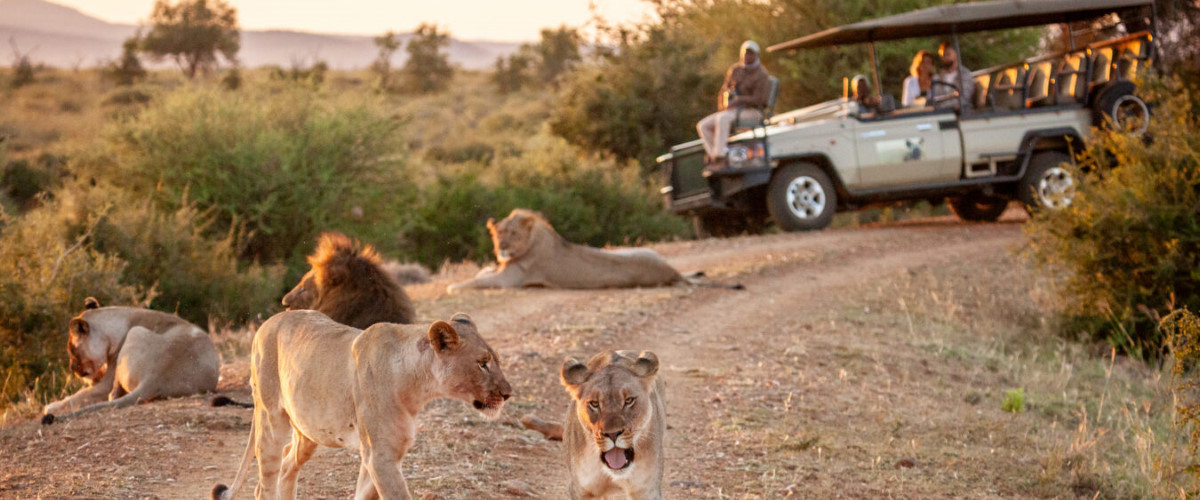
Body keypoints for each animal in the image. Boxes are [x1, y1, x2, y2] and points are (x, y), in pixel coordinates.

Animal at [41, 297, 220, 424]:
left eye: (72, 351)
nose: (72, 369)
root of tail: (154, 378)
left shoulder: (107, 380)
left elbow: (80, 395)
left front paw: (51, 406)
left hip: (135, 332)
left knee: (112, 396)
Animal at [211, 311, 512, 500]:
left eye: (495, 360)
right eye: (482, 364)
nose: (508, 393)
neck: (417, 386)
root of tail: (266, 323)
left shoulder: (382, 456)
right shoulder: (380, 457)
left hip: (309, 431)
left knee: (287, 468)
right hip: (271, 419)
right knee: (265, 483)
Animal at [448, 209, 697, 293]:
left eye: (514, 234)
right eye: (498, 234)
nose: (502, 249)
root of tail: (672, 272)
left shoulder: (508, 281)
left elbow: (477, 281)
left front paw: (453, 286)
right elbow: (483, 273)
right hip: (637, 249)